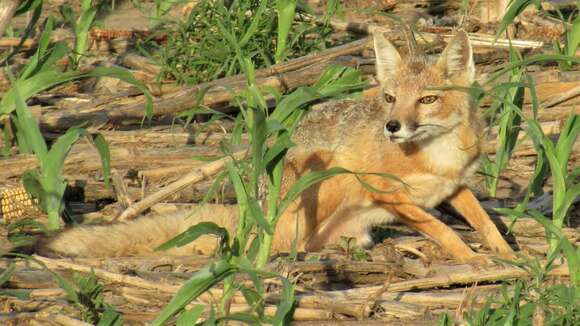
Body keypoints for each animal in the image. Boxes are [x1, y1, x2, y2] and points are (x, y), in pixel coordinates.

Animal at [39, 30, 512, 264]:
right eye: (391, 98)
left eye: (427, 99)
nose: (393, 127)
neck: (439, 154)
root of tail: (254, 211)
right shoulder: (381, 188)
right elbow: (442, 228)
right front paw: (473, 260)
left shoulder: (456, 186)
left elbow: (485, 222)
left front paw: (510, 256)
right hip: (332, 176)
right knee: (289, 243)